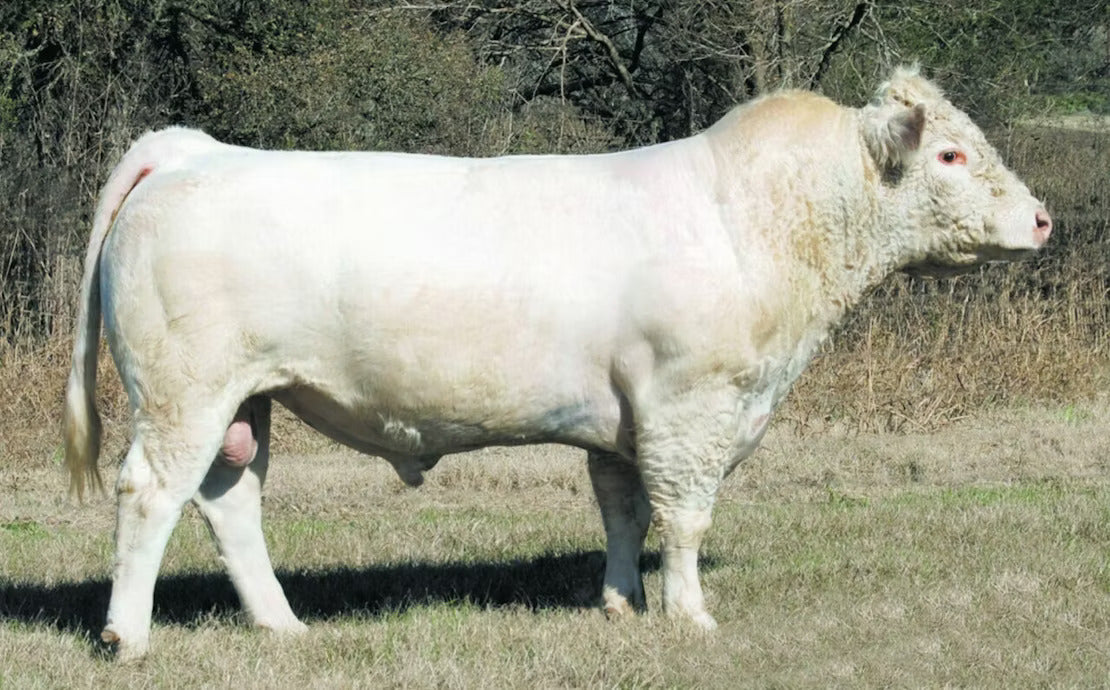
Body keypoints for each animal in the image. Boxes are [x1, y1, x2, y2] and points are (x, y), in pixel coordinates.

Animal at [63, 66, 1051, 661]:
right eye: (952, 152)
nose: (1041, 219)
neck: (763, 221)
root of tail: (192, 149)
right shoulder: (691, 407)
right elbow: (683, 519)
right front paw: (690, 616)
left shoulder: (628, 420)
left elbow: (623, 512)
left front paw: (619, 603)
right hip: (184, 392)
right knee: (150, 493)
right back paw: (128, 637)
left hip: (246, 399)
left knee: (230, 502)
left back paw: (282, 625)